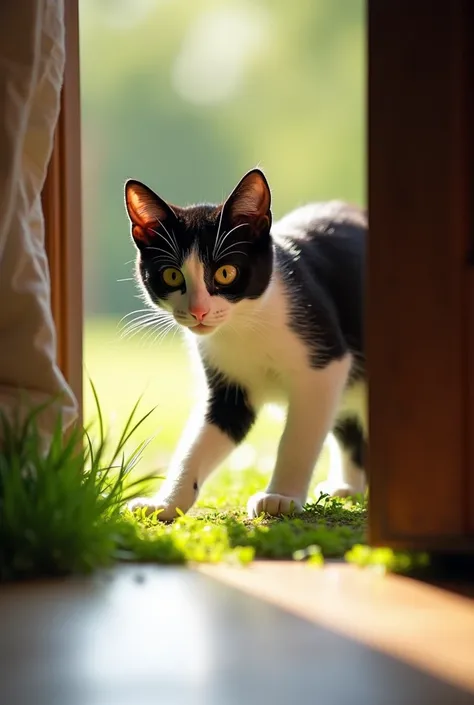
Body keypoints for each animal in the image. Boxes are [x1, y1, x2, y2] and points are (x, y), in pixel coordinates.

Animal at [123, 168, 366, 520]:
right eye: (171, 276)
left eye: (226, 272)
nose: (199, 311)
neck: (243, 327)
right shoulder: (227, 388)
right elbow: (199, 441)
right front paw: (166, 503)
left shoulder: (325, 365)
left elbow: (299, 437)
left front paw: (281, 497)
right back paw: (348, 487)